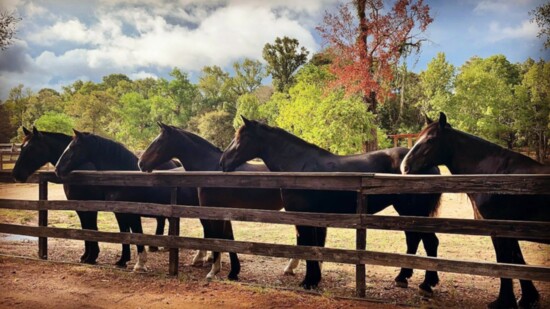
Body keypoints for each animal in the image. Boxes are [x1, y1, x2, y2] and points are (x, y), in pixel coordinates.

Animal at [55, 129, 198, 270]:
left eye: (74, 146)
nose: (57, 168)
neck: (125, 179)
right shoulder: (120, 213)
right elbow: (124, 233)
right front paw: (122, 261)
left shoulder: (133, 214)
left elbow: (137, 233)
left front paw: (140, 264)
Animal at [140, 122, 300, 280]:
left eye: (159, 141)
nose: (141, 163)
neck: (211, 168)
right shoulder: (223, 212)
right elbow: (228, 238)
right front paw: (233, 271)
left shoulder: (214, 211)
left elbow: (216, 238)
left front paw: (213, 270)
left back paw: (290, 267)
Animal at [220, 117, 444, 294]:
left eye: (241, 138)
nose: (223, 162)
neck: (300, 167)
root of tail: (431, 166)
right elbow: (316, 247)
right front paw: (314, 279)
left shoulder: (305, 217)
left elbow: (309, 247)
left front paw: (309, 281)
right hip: (408, 212)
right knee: (414, 240)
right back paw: (402, 278)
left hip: (415, 212)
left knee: (429, 242)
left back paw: (427, 284)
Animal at [402, 112, 550, 306]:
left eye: (431, 140)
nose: (404, 167)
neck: (494, 175)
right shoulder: (511, 231)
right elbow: (517, 261)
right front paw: (527, 298)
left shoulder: (500, 231)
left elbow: (504, 262)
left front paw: (504, 301)